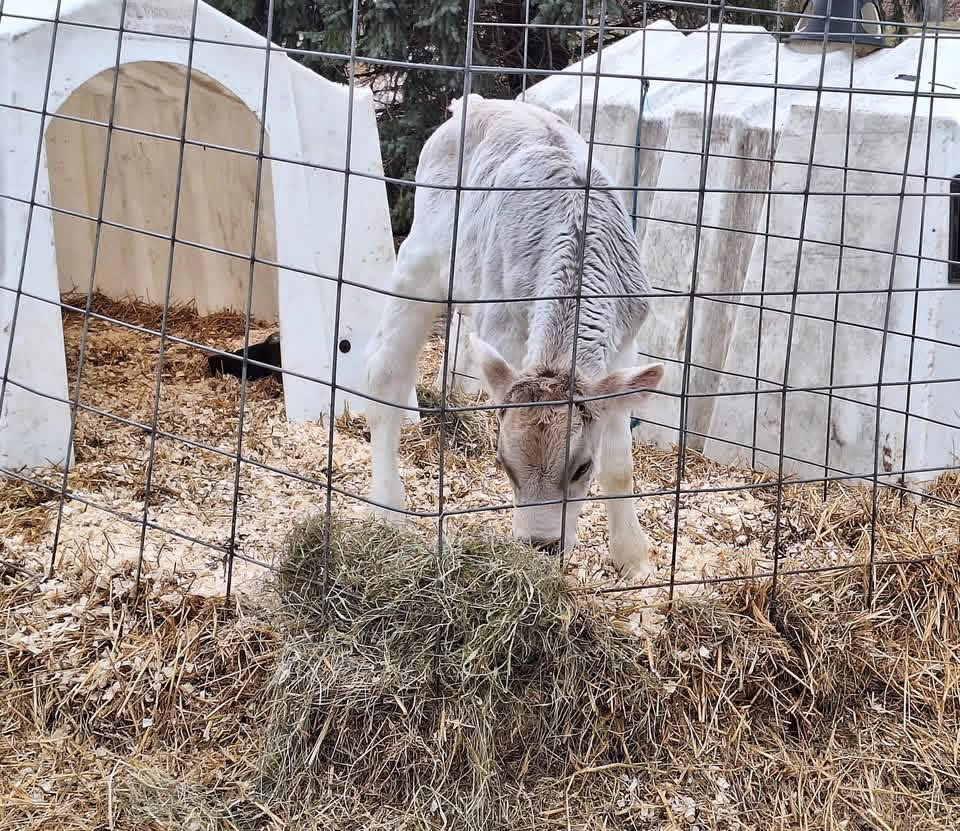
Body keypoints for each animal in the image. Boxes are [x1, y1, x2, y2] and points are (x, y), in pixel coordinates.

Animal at [364, 95, 663, 580]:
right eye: (504, 464)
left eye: (582, 468)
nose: (542, 545)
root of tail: (478, 103)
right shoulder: (503, 331)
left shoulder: (623, 346)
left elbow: (620, 463)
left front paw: (634, 559)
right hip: (419, 263)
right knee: (384, 375)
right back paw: (388, 510)